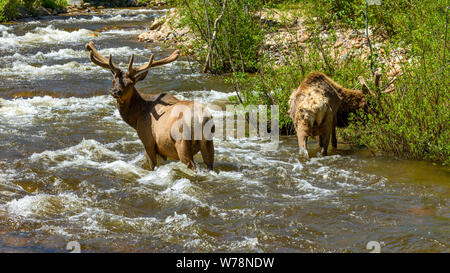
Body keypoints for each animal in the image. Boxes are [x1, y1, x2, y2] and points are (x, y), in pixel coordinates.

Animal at [87, 41, 216, 169]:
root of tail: (201, 117)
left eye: (130, 83)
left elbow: (152, 166)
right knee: (209, 163)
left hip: (182, 141)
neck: (136, 118)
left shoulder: (148, 142)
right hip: (208, 142)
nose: (115, 92)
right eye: (113, 81)